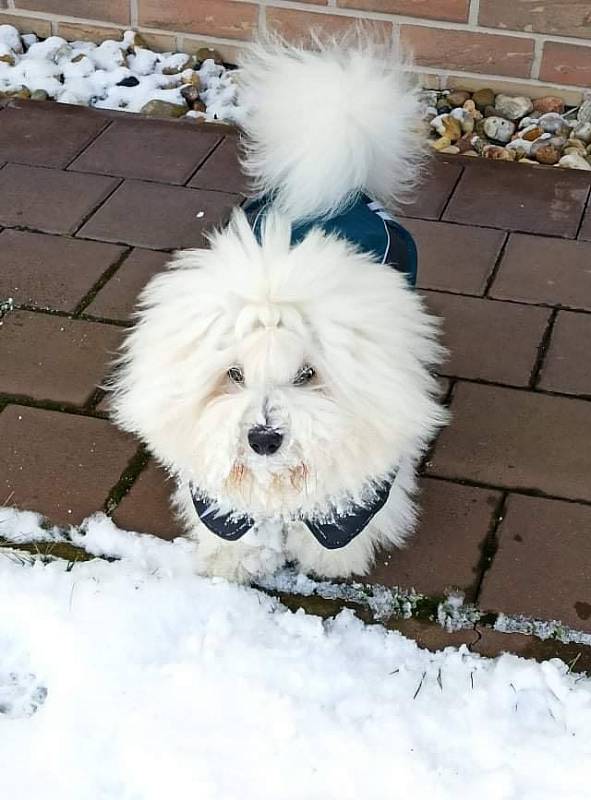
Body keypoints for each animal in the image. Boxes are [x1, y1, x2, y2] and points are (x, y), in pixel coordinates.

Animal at [112, 32, 448, 580]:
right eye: (234, 374)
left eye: (307, 375)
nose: (264, 439)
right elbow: (227, 523)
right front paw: (231, 565)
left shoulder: (362, 485)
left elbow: (342, 523)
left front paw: (332, 564)